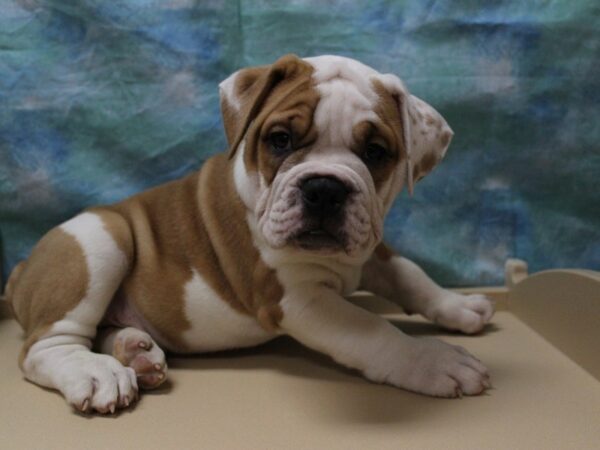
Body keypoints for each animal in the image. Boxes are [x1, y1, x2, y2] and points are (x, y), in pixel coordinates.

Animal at [4, 54, 492, 414]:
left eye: (375, 152)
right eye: (279, 139)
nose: (324, 188)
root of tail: (22, 268)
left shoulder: (370, 251)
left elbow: (411, 275)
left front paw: (459, 306)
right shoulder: (298, 298)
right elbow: (371, 328)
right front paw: (433, 360)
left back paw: (134, 350)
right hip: (103, 239)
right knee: (45, 346)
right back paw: (97, 372)